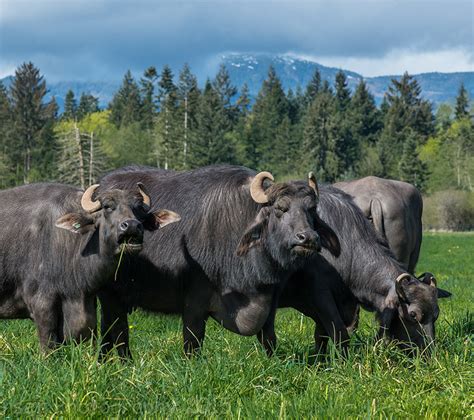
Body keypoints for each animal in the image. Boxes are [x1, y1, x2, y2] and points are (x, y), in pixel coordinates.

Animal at [0, 184, 180, 352]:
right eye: (108, 207)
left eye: (138, 209)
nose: (132, 226)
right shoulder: (41, 304)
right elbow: (49, 346)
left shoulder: (87, 304)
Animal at [97, 166, 340, 356]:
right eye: (280, 208)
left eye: (311, 209)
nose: (308, 238)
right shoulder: (194, 302)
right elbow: (193, 341)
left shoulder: (270, 302)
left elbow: (269, 339)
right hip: (109, 296)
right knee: (113, 331)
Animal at [258, 186, 446, 354]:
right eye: (413, 315)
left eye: (435, 315)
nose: (428, 353)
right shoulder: (321, 295)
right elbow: (340, 333)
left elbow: (321, 335)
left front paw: (319, 361)